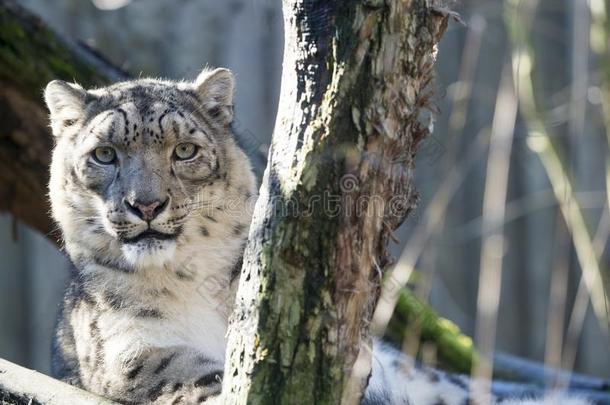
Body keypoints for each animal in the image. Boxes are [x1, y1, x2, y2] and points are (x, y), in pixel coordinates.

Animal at [44, 68, 588, 402]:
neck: (187, 277)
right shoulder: (128, 354)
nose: (147, 204)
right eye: (104, 154)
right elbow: (198, 376)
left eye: (184, 150)